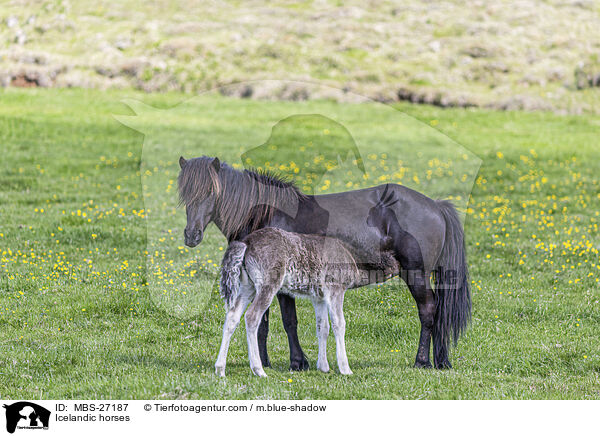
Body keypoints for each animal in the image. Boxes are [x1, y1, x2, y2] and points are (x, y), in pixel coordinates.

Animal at [214, 227, 358, 376]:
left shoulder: (318, 297)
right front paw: (345, 368)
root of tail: (246, 243)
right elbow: (339, 324)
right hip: (268, 284)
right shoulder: (336, 290)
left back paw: (220, 369)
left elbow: (322, 327)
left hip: (248, 286)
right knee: (252, 316)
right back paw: (259, 370)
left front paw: (323, 367)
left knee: (232, 316)